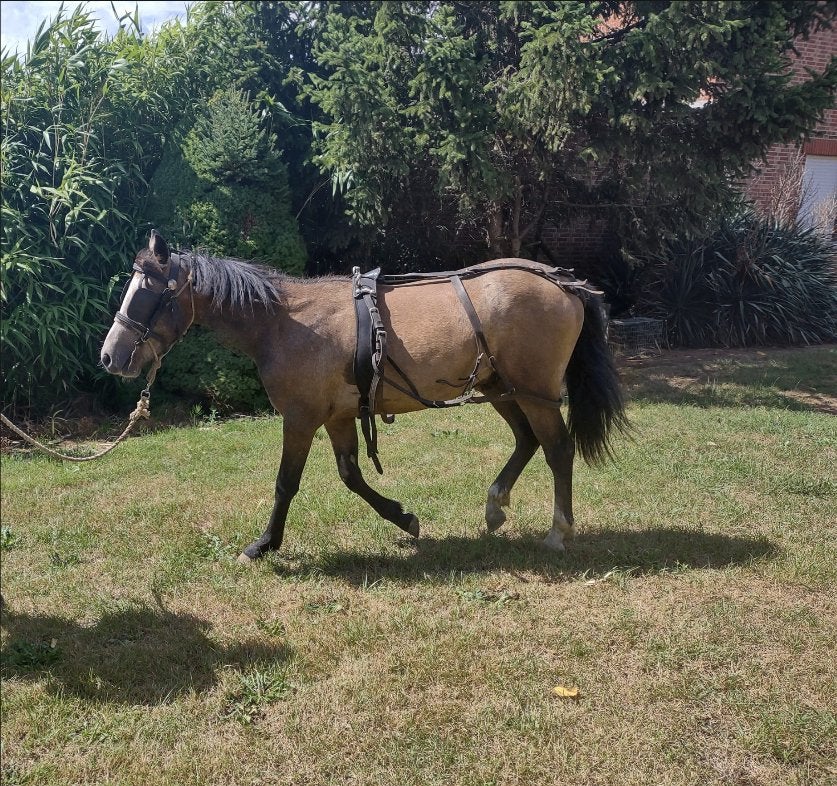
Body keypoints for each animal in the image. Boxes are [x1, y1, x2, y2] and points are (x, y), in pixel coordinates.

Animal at [100, 231, 628, 562]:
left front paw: (264, 543)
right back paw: (496, 504)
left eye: (148, 291)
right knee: (526, 441)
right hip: (502, 388)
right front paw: (404, 518)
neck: (284, 322)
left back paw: (559, 531)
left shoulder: (301, 417)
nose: (110, 356)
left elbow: (285, 483)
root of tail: (566, 283)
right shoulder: (337, 415)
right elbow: (351, 476)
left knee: (557, 449)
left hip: (537, 393)